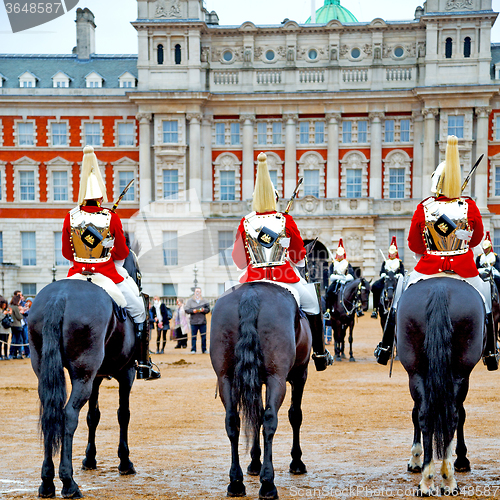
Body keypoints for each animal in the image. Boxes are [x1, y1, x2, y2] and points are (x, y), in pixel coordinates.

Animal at [28, 248, 143, 498]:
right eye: (138, 274)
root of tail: (59, 296)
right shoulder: (126, 374)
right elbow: (123, 415)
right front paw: (125, 462)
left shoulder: (96, 378)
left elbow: (94, 416)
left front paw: (90, 459)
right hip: (84, 376)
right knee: (68, 415)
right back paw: (68, 483)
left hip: (52, 374)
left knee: (51, 415)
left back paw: (47, 482)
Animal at [210, 282, 312, 500]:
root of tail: (251, 292)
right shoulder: (300, 375)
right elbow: (295, 415)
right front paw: (296, 462)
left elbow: (254, 417)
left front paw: (254, 463)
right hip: (277, 379)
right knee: (271, 420)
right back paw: (268, 484)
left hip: (226, 379)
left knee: (233, 421)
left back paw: (236, 482)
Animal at [394, 280, 484, 494]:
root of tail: (439, 287)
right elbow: (460, 415)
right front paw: (461, 458)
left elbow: (418, 414)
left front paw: (416, 459)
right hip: (457, 374)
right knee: (450, 416)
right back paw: (446, 478)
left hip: (417, 373)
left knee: (427, 415)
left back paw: (428, 481)